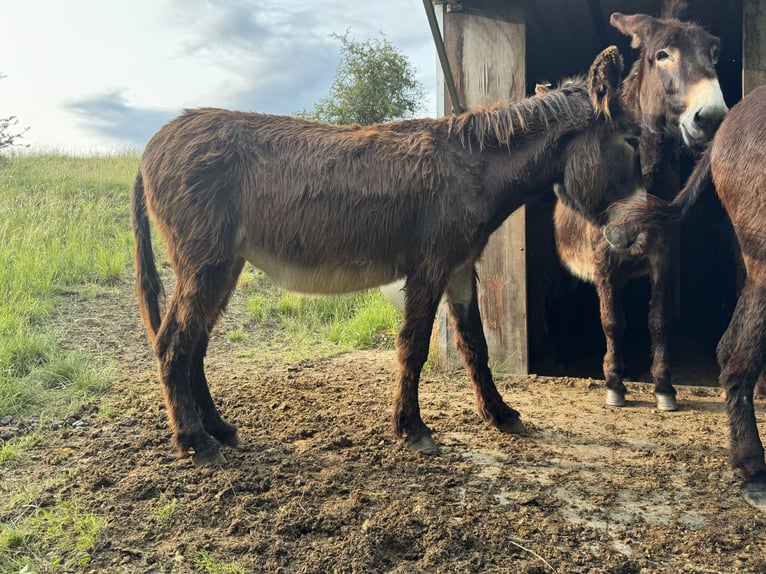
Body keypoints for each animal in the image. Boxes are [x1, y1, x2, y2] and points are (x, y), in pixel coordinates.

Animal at [131, 46, 643, 467]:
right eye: (633, 141)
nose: (635, 234)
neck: (473, 171)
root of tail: (152, 145)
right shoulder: (429, 267)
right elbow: (413, 347)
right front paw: (413, 429)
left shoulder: (460, 269)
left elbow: (476, 346)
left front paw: (500, 415)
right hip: (205, 260)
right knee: (172, 341)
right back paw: (196, 443)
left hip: (224, 264)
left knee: (194, 342)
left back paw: (220, 429)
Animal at [550, 0, 727, 411]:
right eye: (662, 55)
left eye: (713, 53)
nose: (712, 119)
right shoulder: (602, 254)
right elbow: (611, 320)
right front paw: (614, 384)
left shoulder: (664, 250)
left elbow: (658, 319)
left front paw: (664, 387)